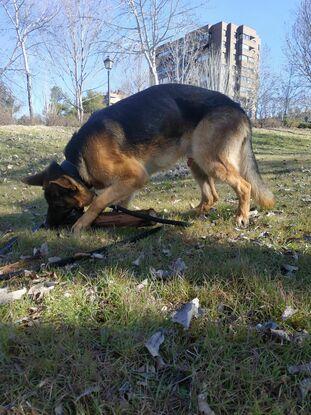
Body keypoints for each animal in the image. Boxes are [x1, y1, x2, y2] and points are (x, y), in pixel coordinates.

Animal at [22, 84, 276, 234]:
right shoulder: (129, 182)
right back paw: (193, 214)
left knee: (244, 185)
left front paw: (83, 223)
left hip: (209, 159)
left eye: (56, 203)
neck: (78, 164)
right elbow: (119, 203)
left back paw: (241, 217)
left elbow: (98, 200)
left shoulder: (135, 176)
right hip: (196, 160)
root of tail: (239, 108)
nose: (45, 226)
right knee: (212, 195)